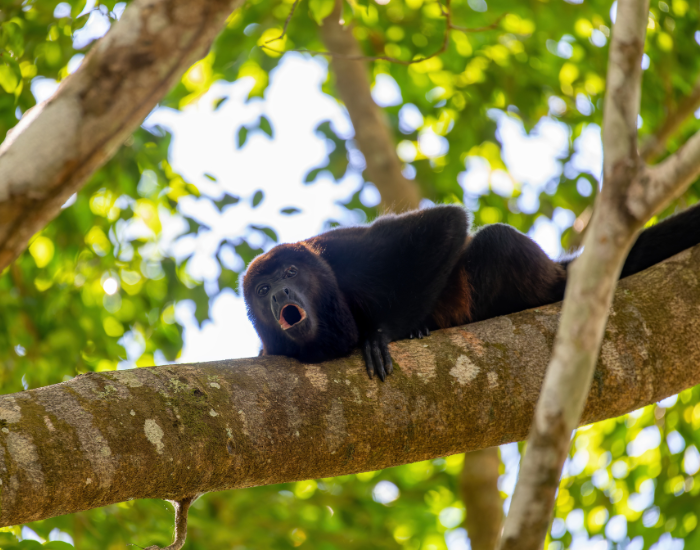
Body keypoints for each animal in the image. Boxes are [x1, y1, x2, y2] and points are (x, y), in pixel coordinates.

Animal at [243, 204, 700, 381]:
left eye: (291, 271)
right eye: (263, 288)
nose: (279, 292)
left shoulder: (342, 251)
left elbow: (445, 223)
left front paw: (379, 336)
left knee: (496, 239)